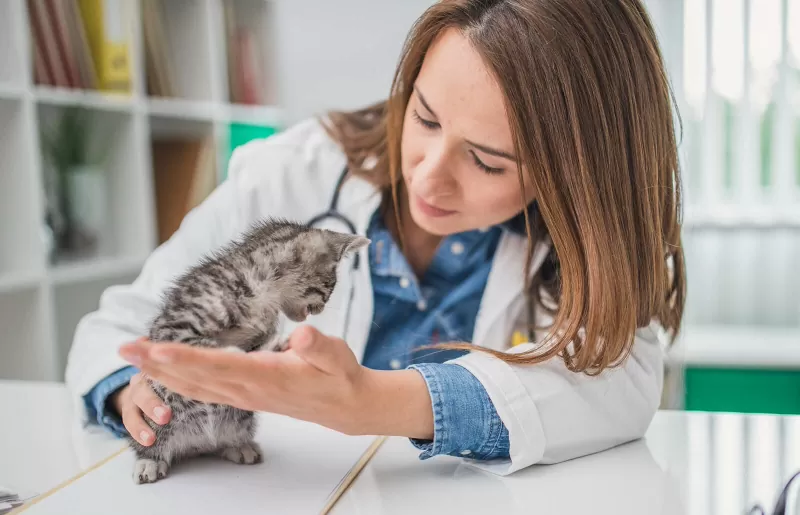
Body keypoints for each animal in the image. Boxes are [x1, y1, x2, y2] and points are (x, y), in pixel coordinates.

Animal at [130, 219, 370, 484]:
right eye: (327, 287)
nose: (318, 310)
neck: (260, 295)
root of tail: (197, 444)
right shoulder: (171, 332)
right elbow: (206, 347)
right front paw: (232, 355)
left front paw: (275, 348)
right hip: (158, 417)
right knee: (151, 442)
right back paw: (149, 460)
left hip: (239, 421)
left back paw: (238, 446)